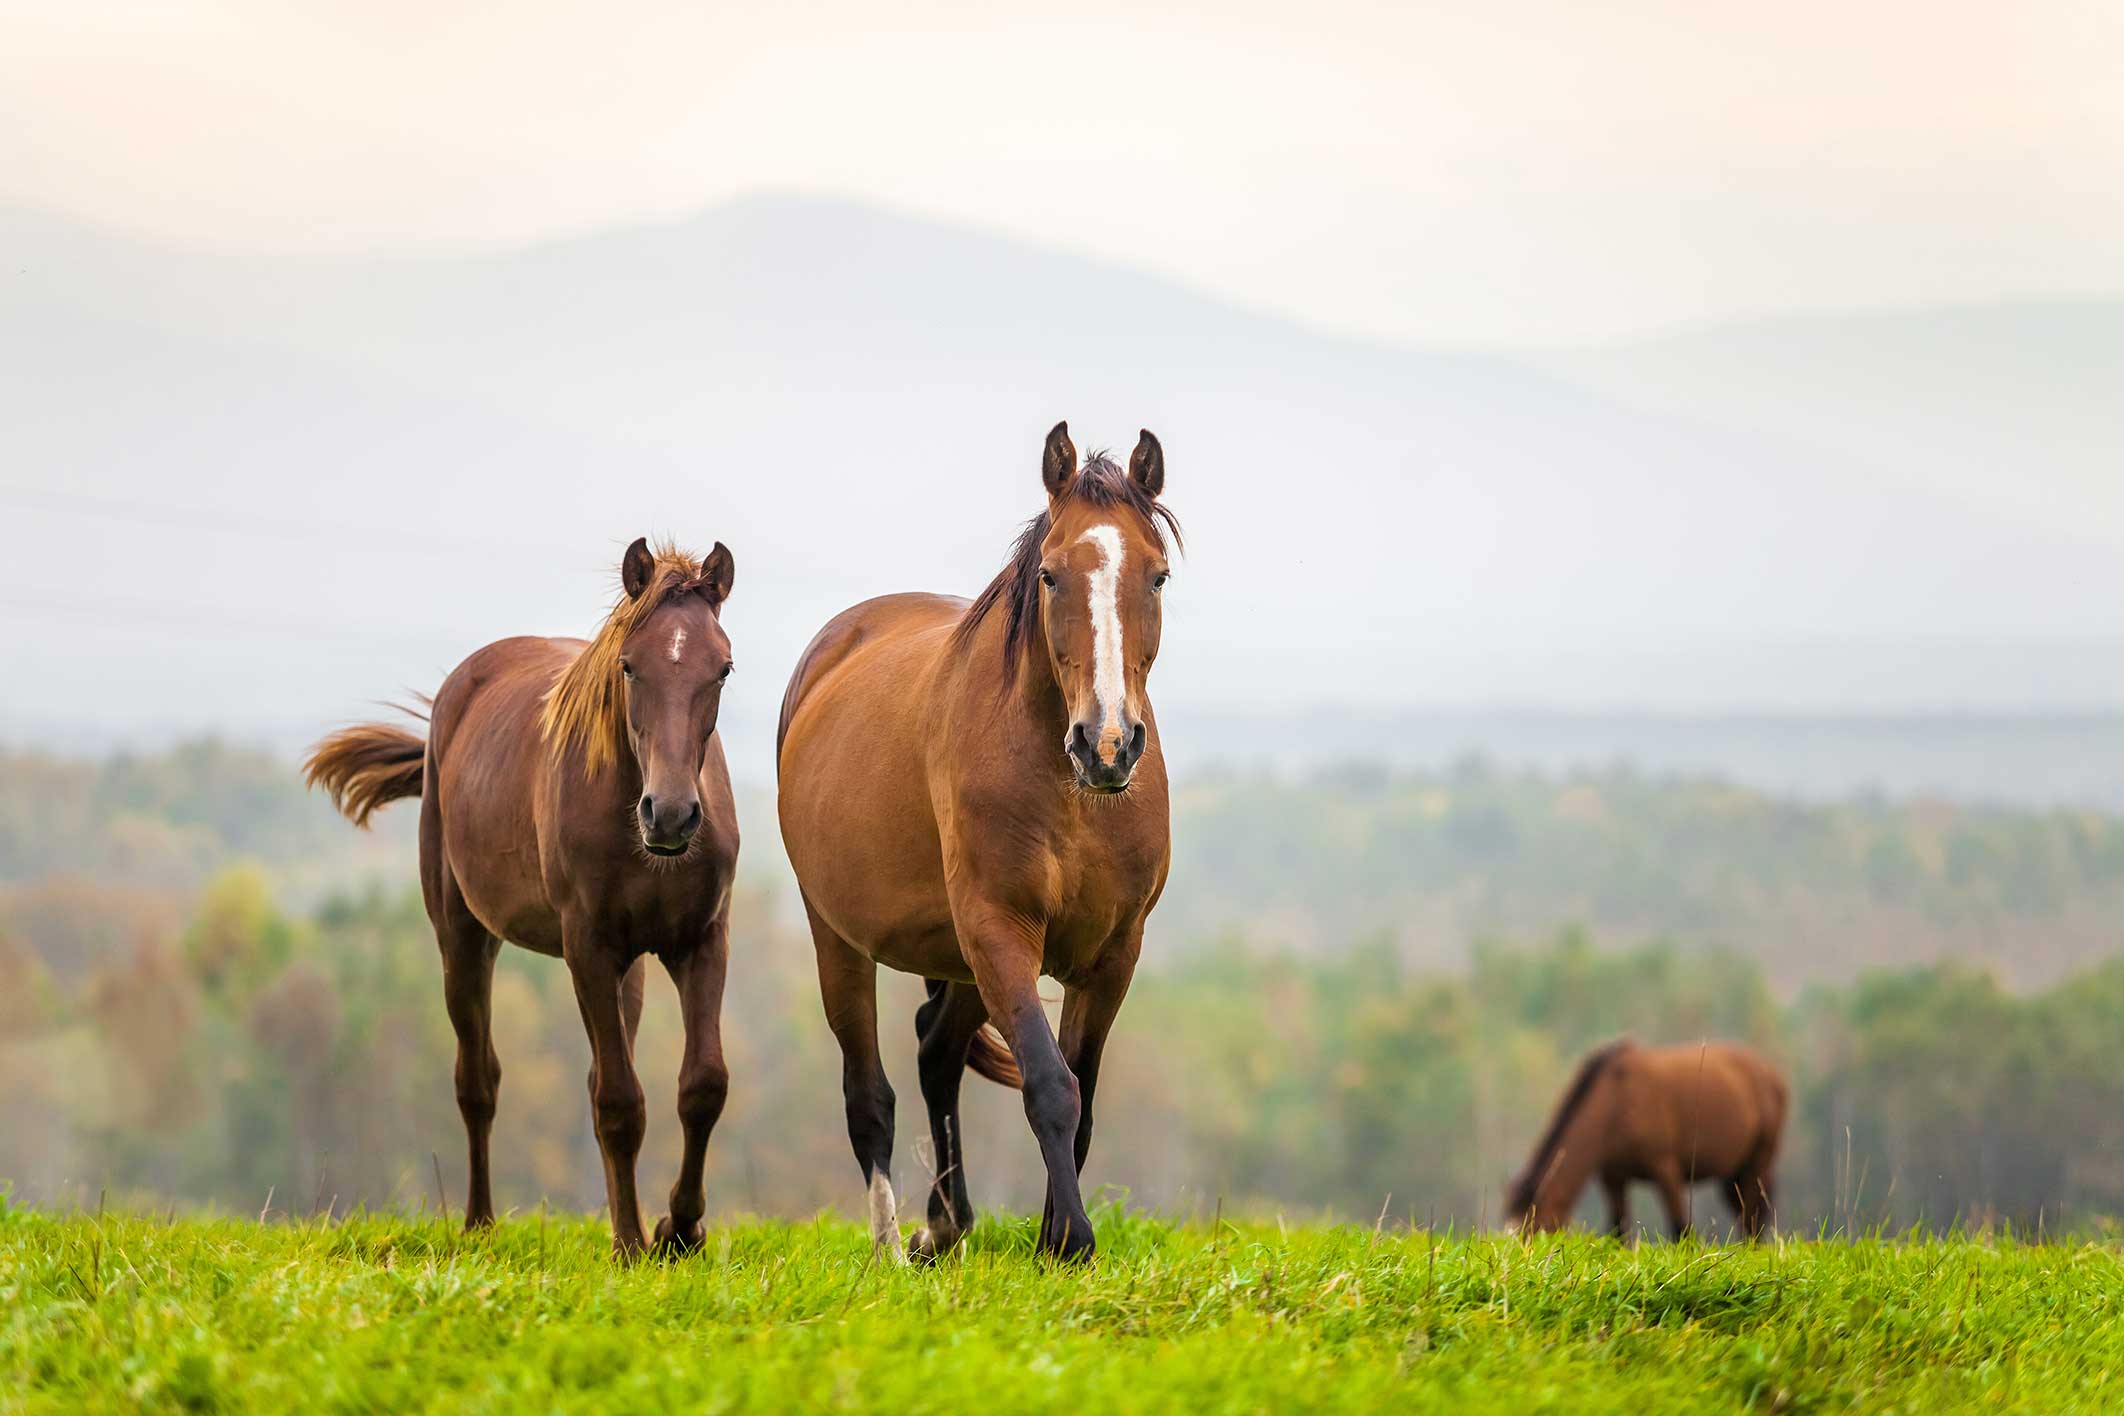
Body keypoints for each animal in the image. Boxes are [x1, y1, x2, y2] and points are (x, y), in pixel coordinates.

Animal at [303, 537, 743, 1256]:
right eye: (629, 665)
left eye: (723, 669)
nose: (672, 816)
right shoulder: (587, 947)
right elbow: (619, 1103)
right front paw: (631, 1243)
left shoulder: (700, 942)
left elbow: (701, 1086)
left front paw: (677, 1230)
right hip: (463, 938)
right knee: (478, 1079)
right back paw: (479, 1223)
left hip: (628, 968)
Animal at [777, 420, 1180, 1265]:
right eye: (1053, 576)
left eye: (1157, 577)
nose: (1108, 744)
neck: (1071, 796)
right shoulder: (999, 930)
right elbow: (1050, 1085)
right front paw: (1070, 1241)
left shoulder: (1113, 953)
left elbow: (1082, 1091)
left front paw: (1054, 1233)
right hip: (841, 938)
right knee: (869, 1092)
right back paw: (892, 1249)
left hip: (958, 956)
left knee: (935, 1053)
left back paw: (945, 1224)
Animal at [1503, 1040, 1784, 1239]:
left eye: (1537, 1229)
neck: (1617, 1101)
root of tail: (1772, 1075)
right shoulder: (1613, 1177)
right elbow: (1619, 1231)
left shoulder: (1666, 1170)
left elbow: (1681, 1228)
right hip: (1732, 1175)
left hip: (1758, 1162)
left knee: (1751, 1216)